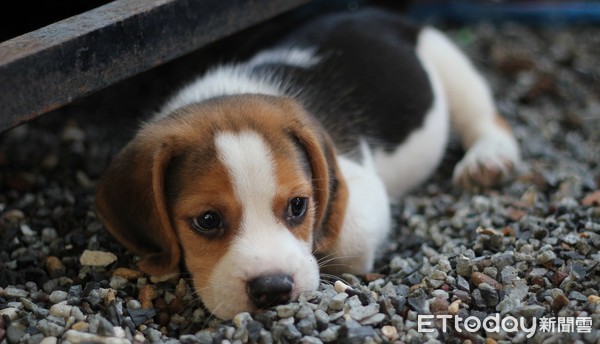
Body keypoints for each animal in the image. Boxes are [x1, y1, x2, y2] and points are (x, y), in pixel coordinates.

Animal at [95, 8, 520, 320]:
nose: (273, 289)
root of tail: (375, 13)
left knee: (485, 117)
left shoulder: (360, 188)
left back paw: (488, 159)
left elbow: (343, 238)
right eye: (207, 221)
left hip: (447, 61)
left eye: (298, 206)